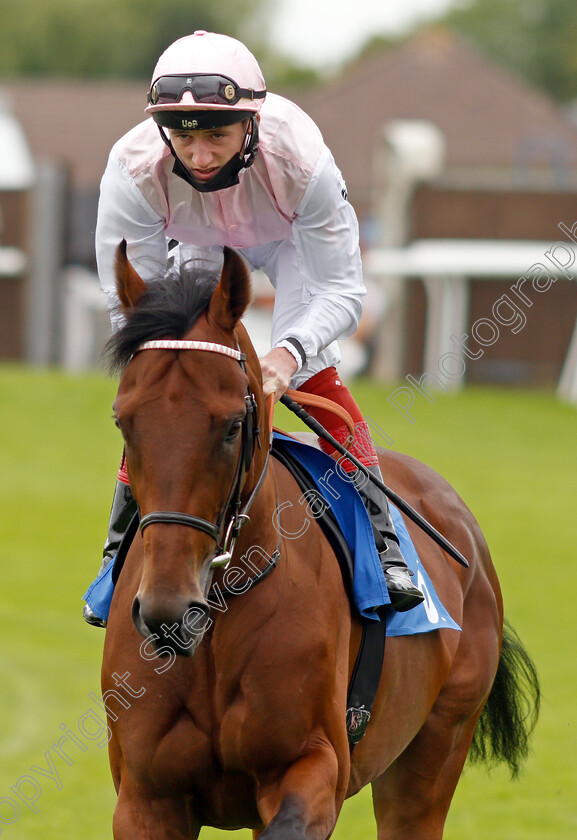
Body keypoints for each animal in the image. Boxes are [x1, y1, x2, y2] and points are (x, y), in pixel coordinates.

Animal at [100, 240, 540, 836]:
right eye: (125, 423)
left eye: (232, 425)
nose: (168, 611)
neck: (218, 622)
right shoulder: (146, 796)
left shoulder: (313, 767)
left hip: (436, 747)